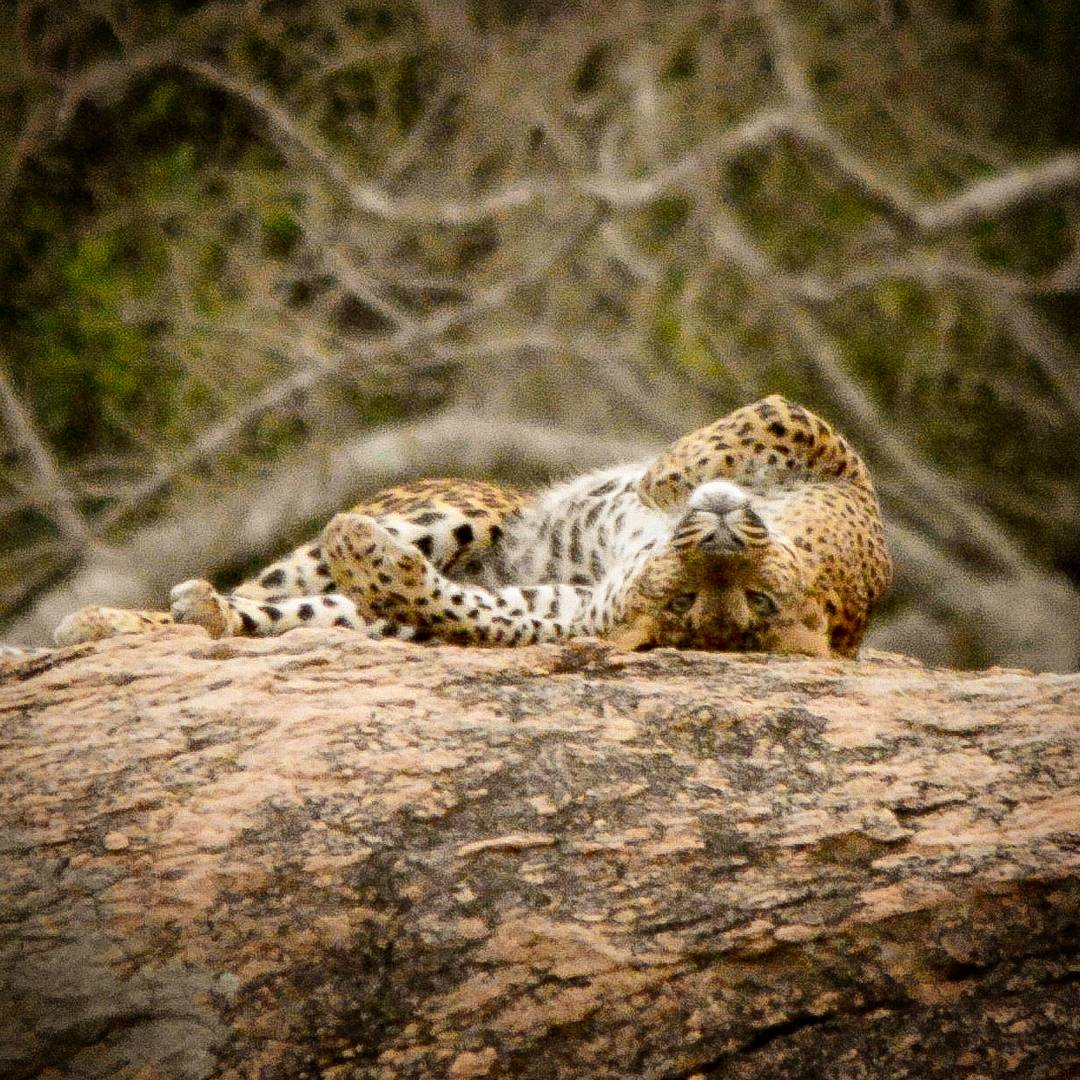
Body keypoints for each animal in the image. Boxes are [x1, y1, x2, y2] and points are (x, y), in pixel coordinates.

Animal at [48, 397, 894, 656]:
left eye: (745, 605)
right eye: (693, 598)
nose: (716, 535)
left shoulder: (563, 611)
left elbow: (476, 612)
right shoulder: (848, 478)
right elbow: (762, 425)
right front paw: (661, 477)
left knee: (286, 611)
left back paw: (187, 613)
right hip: (455, 515)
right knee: (269, 588)